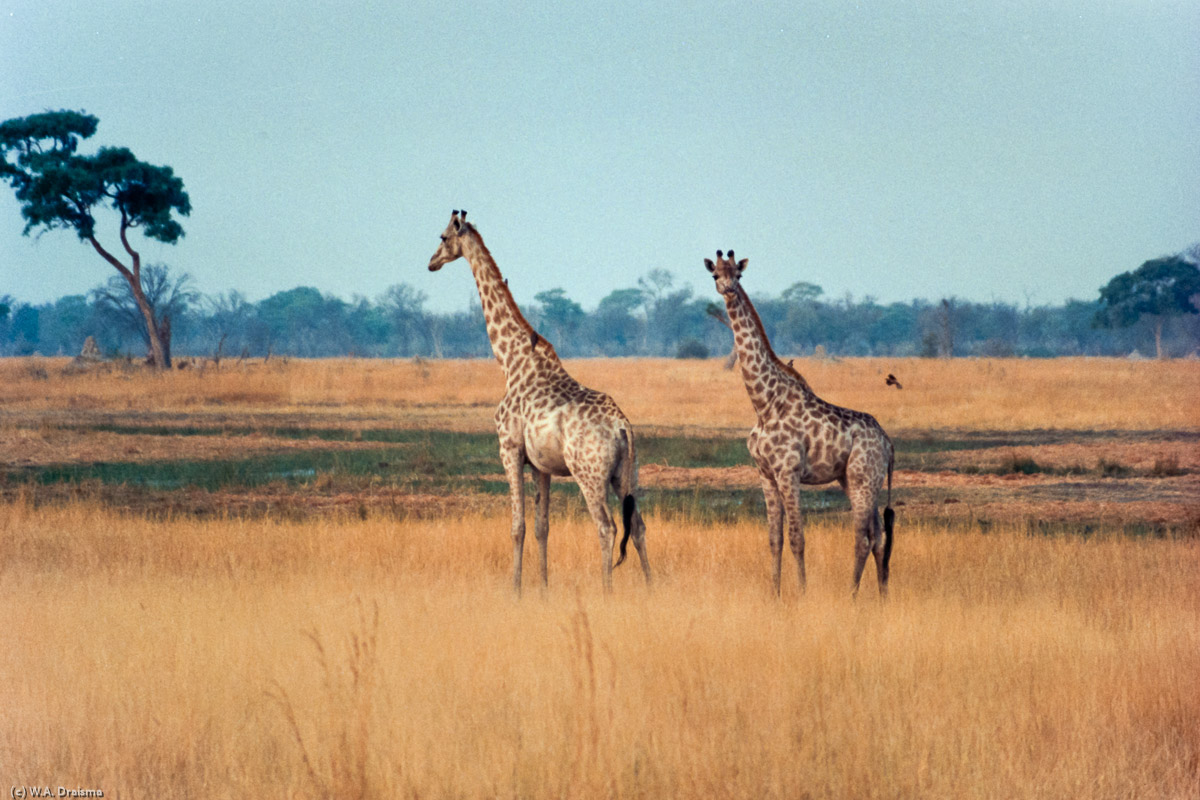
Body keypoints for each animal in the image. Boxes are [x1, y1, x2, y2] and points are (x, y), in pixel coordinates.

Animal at [422, 212, 648, 594]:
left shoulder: (509, 449)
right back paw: (654, 586)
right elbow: (543, 527)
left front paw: (515, 590)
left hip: (589, 475)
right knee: (639, 526)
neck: (510, 360)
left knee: (607, 527)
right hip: (625, 475)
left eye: (442, 237)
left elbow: (518, 527)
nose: (431, 263)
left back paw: (607, 592)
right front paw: (543, 588)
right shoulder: (541, 464)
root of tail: (623, 428)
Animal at [700, 253, 892, 597]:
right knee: (878, 537)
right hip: (855, 480)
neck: (763, 403)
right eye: (715, 275)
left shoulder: (788, 472)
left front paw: (801, 593)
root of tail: (888, 443)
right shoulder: (765, 474)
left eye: (738, 274)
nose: (729, 289)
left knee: (862, 538)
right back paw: (883, 597)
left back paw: (851, 595)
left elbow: (797, 537)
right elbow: (774, 539)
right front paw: (774, 593)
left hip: (863, 479)